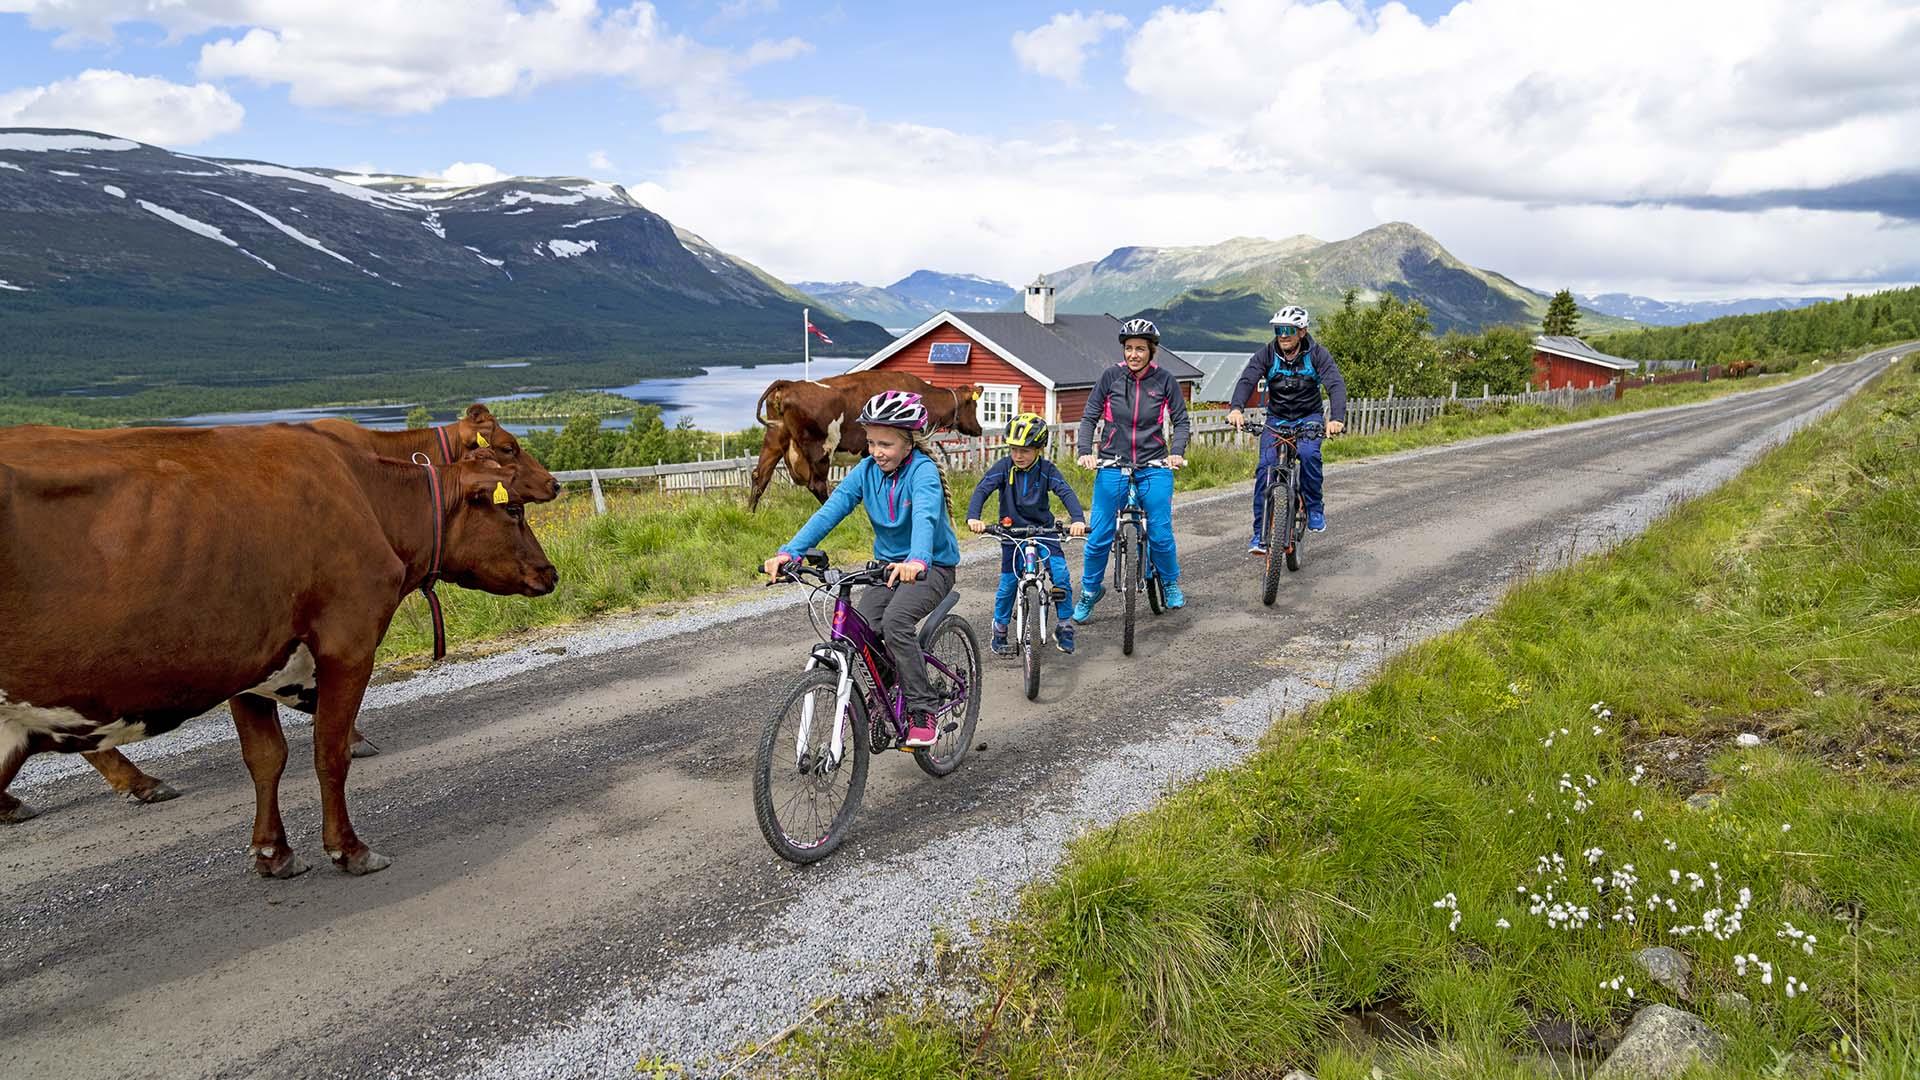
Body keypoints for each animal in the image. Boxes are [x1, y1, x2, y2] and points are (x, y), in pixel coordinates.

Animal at [0, 422, 556, 876]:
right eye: (512, 507)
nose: (549, 572)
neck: (366, 496)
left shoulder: (250, 666)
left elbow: (266, 758)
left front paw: (273, 852)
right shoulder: (347, 645)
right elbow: (328, 752)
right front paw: (348, 849)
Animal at [741, 368, 983, 507]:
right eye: (974, 405)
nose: (979, 429)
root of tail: (789, 384)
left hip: (774, 439)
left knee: (759, 476)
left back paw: (751, 513)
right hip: (820, 446)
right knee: (817, 484)